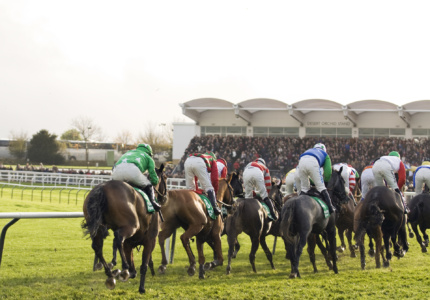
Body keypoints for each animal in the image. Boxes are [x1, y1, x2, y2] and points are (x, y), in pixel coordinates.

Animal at [82, 164, 166, 292]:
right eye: (165, 178)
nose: (165, 197)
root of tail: (102, 188)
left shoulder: (129, 243)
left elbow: (134, 270)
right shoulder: (150, 240)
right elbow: (143, 266)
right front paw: (141, 288)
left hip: (98, 228)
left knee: (97, 247)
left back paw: (110, 272)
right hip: (132, 225)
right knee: (118, 238)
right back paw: (122, 268)